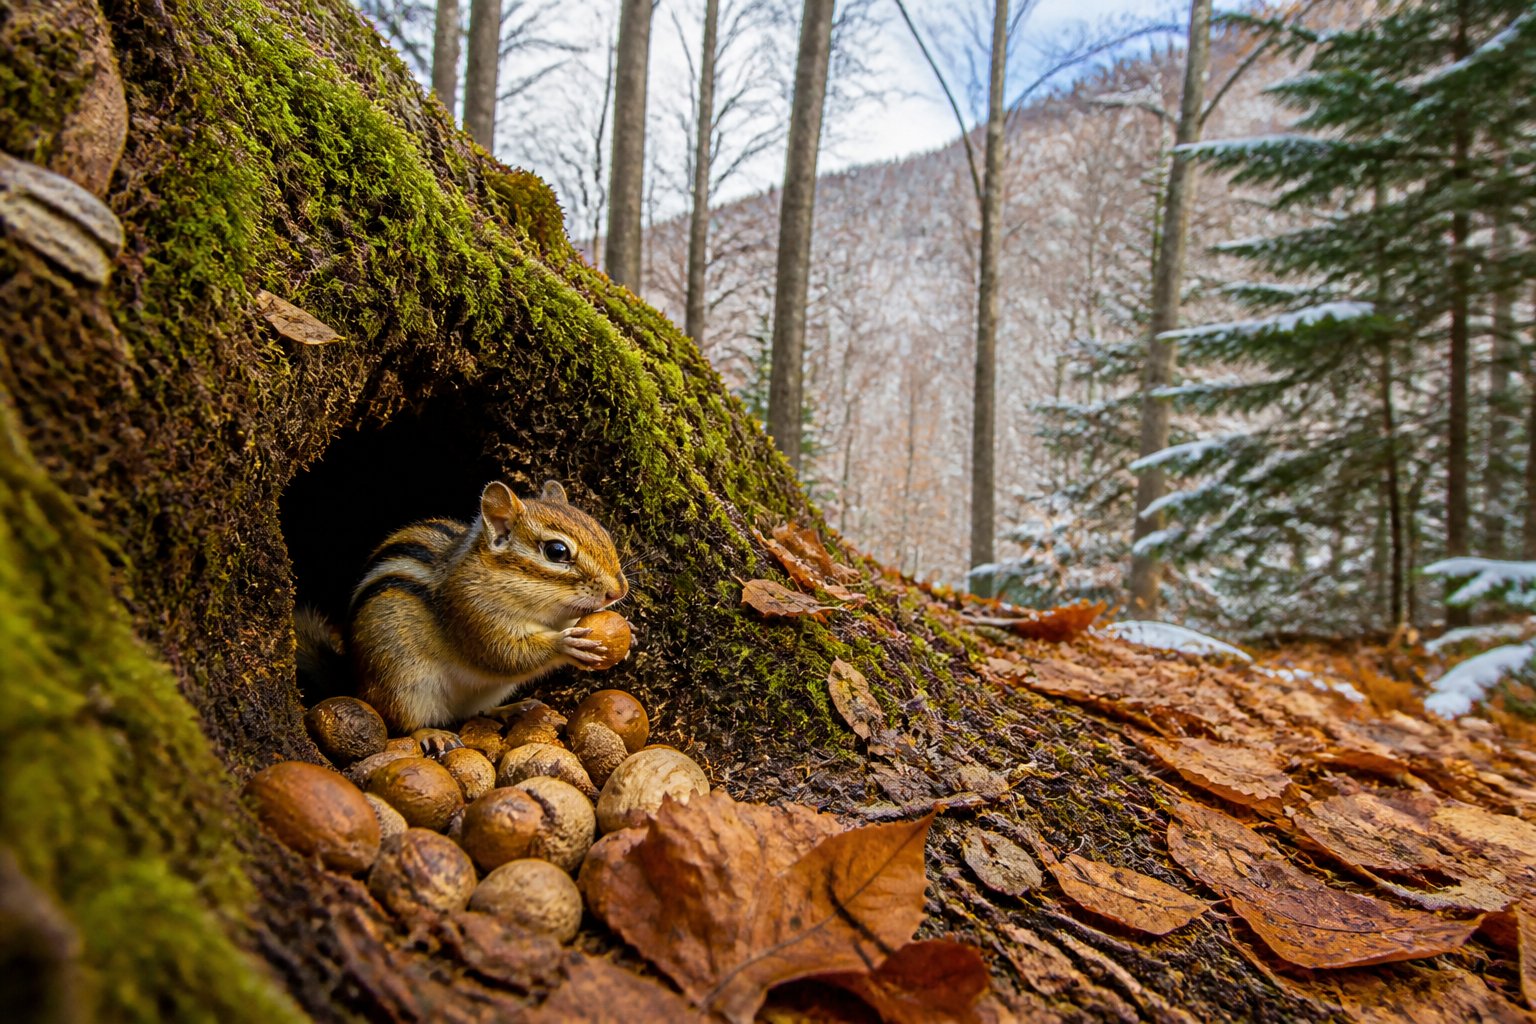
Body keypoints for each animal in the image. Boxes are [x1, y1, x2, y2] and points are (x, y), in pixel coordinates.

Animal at [296, 480, 628, 753]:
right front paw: (566, 645)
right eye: (557, 551)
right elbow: (505, 655)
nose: (618, 591)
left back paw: (511, 710)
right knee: (399, 721)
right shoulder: (471, 613)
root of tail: (354, 679)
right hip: (403, 684)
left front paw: (629, 633)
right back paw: (431, 733)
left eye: (603, 531)